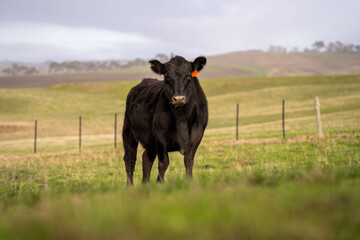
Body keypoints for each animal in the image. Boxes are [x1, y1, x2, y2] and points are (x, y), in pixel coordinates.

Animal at [122, 55, 208, 185]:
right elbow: (163, 163)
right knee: (130, 160)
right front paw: (160, 183)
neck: (181, 117)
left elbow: (188, 160)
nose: (179, 98)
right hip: (128, 131)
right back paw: (129, 186)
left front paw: (189, 180)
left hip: (150, 142)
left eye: (188, 75)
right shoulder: (160, 136)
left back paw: (145, 184)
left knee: (146, 158)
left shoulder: (197, 134)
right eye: (167, 76)